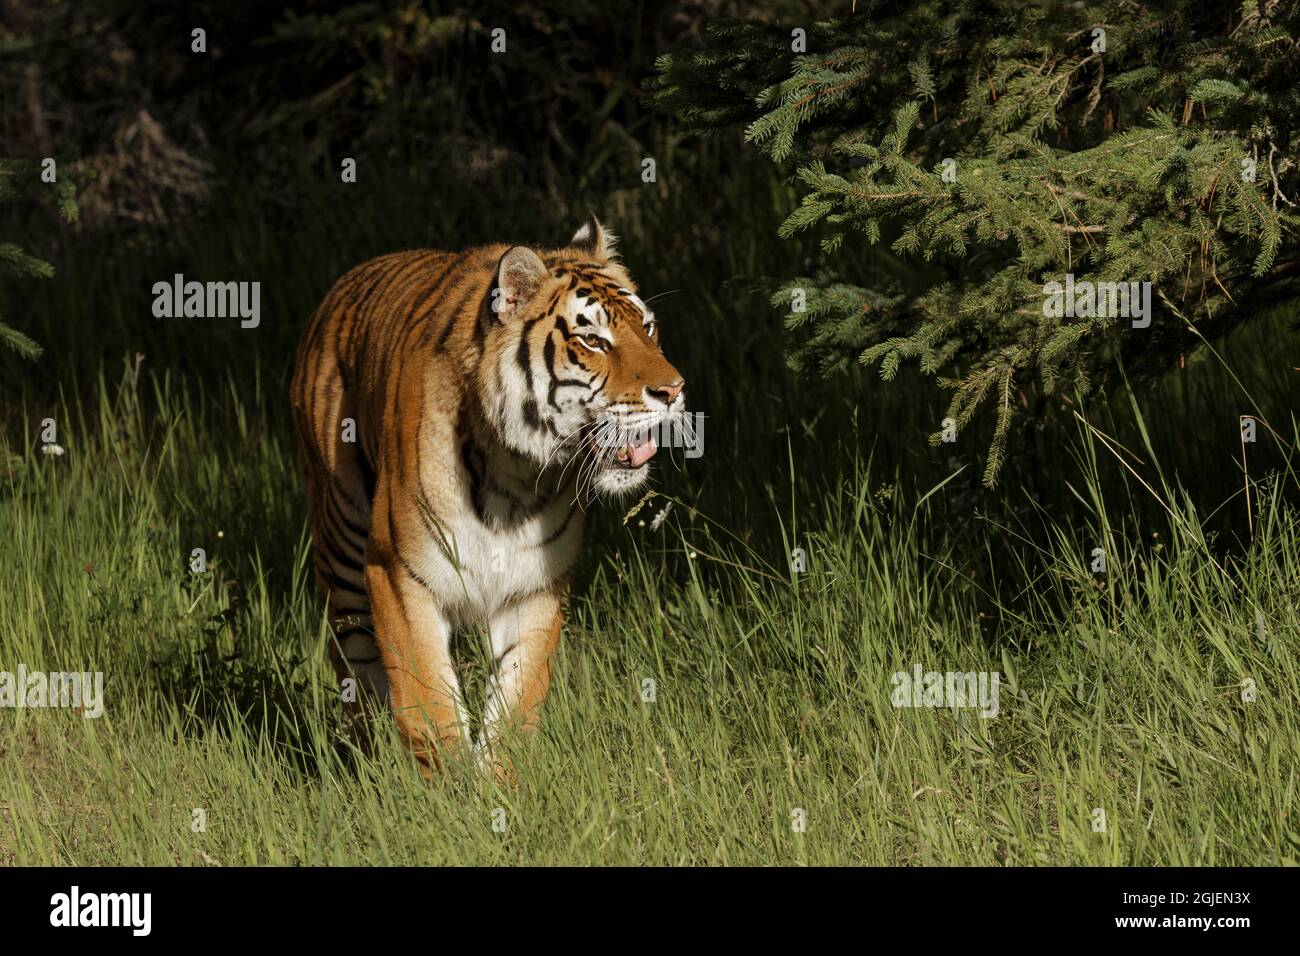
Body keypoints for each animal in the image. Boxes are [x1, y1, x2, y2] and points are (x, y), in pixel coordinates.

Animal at [290, 216, 686, 776]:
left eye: (647, 328)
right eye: (592, 339)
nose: (673, 391)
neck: (513, 475)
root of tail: (342, 285)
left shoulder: (534, 587)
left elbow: (515, 706)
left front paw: (500, 788)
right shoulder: (397, 573)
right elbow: (429, 705)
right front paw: (449, 793)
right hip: (344, 548)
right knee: (356, 672)